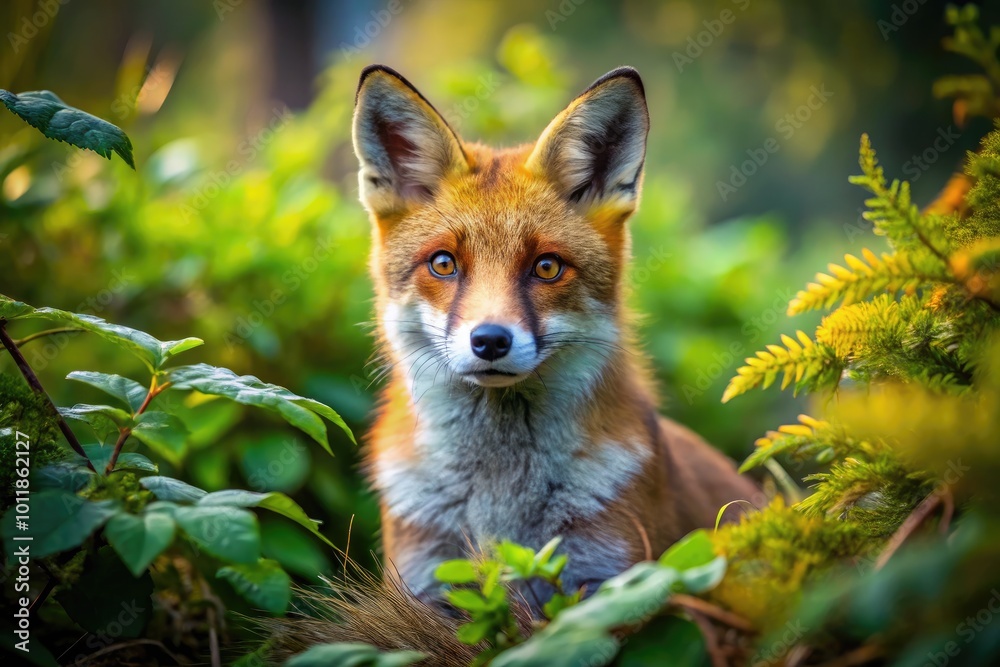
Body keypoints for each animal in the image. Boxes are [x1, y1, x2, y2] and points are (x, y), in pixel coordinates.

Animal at [352, 64, 759, 609]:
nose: (490, 341)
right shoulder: (425, 585)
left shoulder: (612, 581)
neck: (501, 504)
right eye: (443, 264)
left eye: (546, 267)